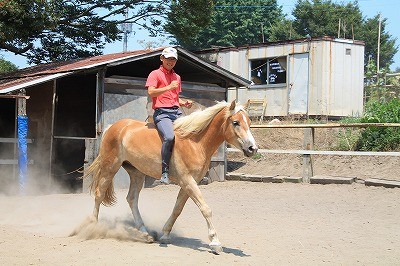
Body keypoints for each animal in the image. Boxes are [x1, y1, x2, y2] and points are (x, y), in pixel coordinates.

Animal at [80, 100, 260, 254]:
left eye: (249, 122)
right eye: (235, 122)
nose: (253, 148)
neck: (194, 142)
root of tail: (115, 127)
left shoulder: (188, 183)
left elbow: (177, 209)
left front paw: (165, 234)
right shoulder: (187, 181)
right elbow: (205, 209)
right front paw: (215, 242)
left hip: (136, 172)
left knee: (132, 199)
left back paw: (145, 233)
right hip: (110, 167)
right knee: (99, 194)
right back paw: (93, 227)